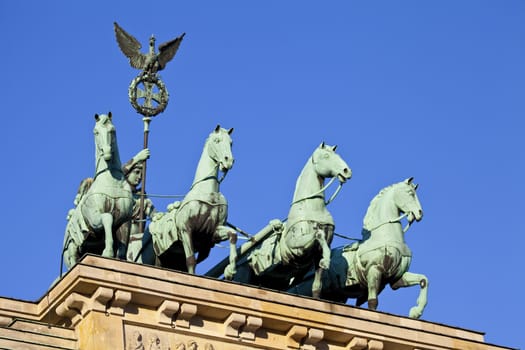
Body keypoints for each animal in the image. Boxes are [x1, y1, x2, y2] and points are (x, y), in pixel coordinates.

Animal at [62, 112, 135, 268]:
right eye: (95, 132)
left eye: (112, 130)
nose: (106, 152)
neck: (112, 181)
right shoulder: (95, 219)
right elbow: (107, 218)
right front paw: (108, 252)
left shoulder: (125, 221)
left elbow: (123, 244)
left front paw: (120, 258)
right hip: (70, 250)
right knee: (73, 260)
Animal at [148, 126, 236, 278]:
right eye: (217, 140)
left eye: (231, 143)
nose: (229, 161)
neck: (207, 192)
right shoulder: (186, 229)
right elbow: (190, 260)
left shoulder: (212, 232)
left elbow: (233, 235)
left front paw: (230, 270)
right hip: (160, 255)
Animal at [234, 142, 350, 298]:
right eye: (326, 156)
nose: (347, 171)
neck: (311, 207)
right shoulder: (296, 246)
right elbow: (318, 235)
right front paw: (326, 259)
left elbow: (317, 284)